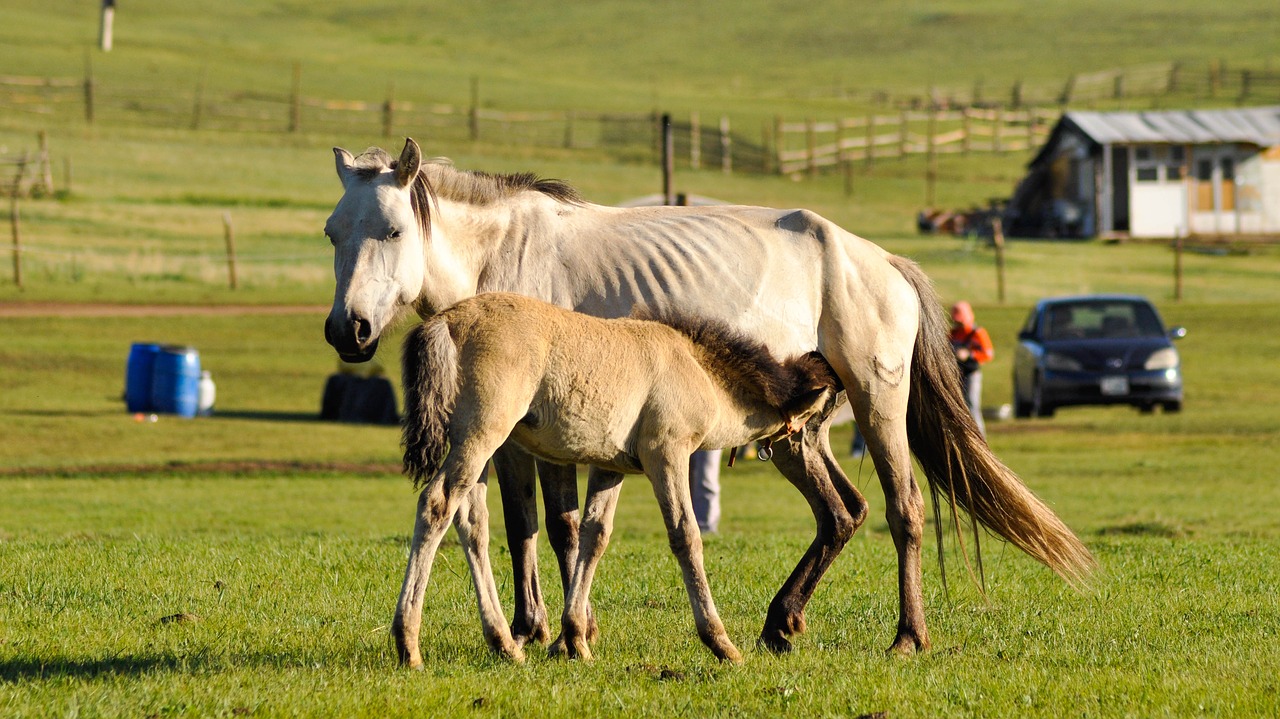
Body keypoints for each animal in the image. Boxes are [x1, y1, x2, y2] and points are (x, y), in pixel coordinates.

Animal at [394, 289, 844, 660]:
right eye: (813, 418)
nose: (816, 449)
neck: (693, 367)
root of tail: (445, 321)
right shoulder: (667, 454)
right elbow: (686, 536)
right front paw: (721, 643)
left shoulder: (610, 468)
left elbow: (594, 536)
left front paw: (575, 640)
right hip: (483, 435)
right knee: (437, 504)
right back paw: (408, 643)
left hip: (478, 448)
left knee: (472, 522)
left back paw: (504, 643)